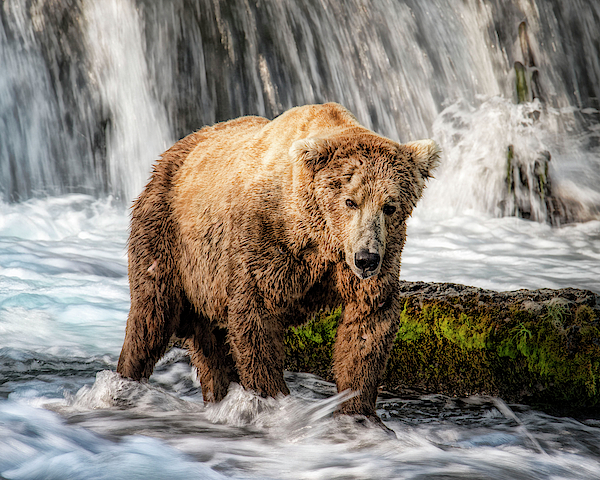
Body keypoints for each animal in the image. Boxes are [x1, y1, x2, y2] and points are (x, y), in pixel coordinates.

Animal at [116, 102, 440, 420]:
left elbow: (368, 325)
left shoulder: (372, 257)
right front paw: (274, 400)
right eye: (351, 201)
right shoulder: (265, 239)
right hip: (168, 234)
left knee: (211, 347)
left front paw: (357, 411)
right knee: (151, 314)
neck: (317, 234)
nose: (366, 259)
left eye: (390, 206)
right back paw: (125, 383)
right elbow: (255, 318)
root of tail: (172, 151)